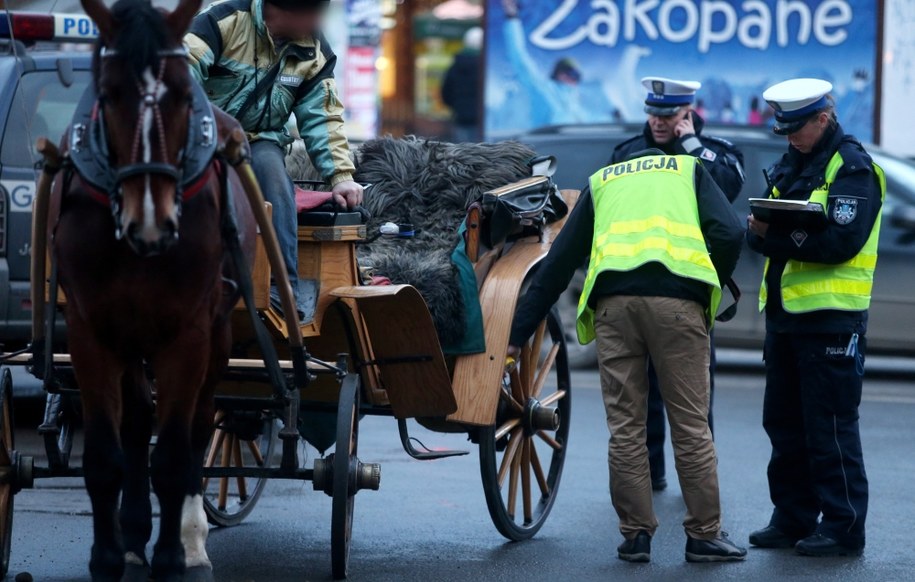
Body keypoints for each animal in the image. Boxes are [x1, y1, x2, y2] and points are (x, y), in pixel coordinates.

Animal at [49, 1, 258, 580]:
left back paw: (190, 538)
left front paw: (173, 555)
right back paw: (134, 531)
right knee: (140, 420)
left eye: (186, 95)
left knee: (199, 426)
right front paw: (107, 555)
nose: (151, 221)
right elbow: (105, 455)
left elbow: (174, 456)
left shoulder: (187, 334)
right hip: (132, 336)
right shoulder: (90, 330)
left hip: (216, 333)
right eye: (108, 93)